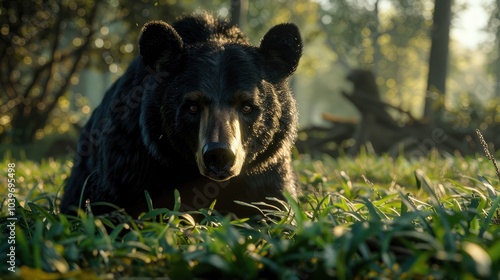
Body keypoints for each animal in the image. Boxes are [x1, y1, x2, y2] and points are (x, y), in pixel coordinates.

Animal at [58, 13, 300, 218]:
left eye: (247, 106)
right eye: (192, 106)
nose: (219, 155)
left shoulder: (266, 167)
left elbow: (271, 205)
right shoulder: (132, 161)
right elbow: (114, 207)